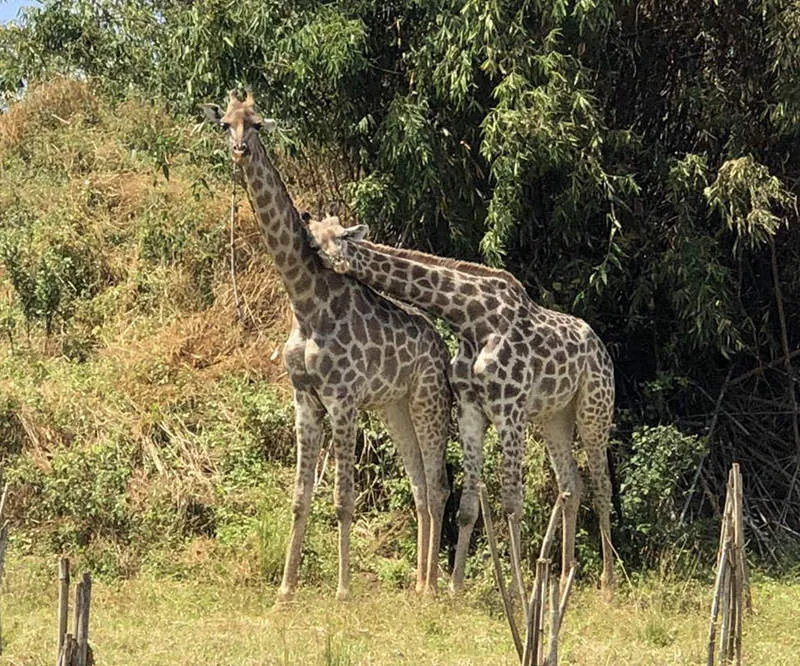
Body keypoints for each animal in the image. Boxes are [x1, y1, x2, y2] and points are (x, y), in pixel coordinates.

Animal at [201, 93, 451, 600]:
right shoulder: (304, 397)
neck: (304, 302)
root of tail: (441, 348)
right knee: (418, 484)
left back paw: (432, 588)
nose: (239, 150)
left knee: (437, 486)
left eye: (258, 124)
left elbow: (342, 500)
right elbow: (299, 498)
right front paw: (285, 590)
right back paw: (418, 582)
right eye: (224, 123)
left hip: (428, 399)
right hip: (393, 407)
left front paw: (343, 590)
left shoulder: (341, 398)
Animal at [305, 214, 616, 592]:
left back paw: (607, 583)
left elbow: (512, 503)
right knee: (572, 485)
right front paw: (455, 586)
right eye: (314, 237)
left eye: (335, 237)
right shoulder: (469, 410)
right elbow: (468, 505)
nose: (319, 253)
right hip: (554, 417)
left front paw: (515, 587)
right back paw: (565, 573)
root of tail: (601, 348)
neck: (472, 319)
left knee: (602, 486)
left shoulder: (509, 410)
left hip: (594, 407)